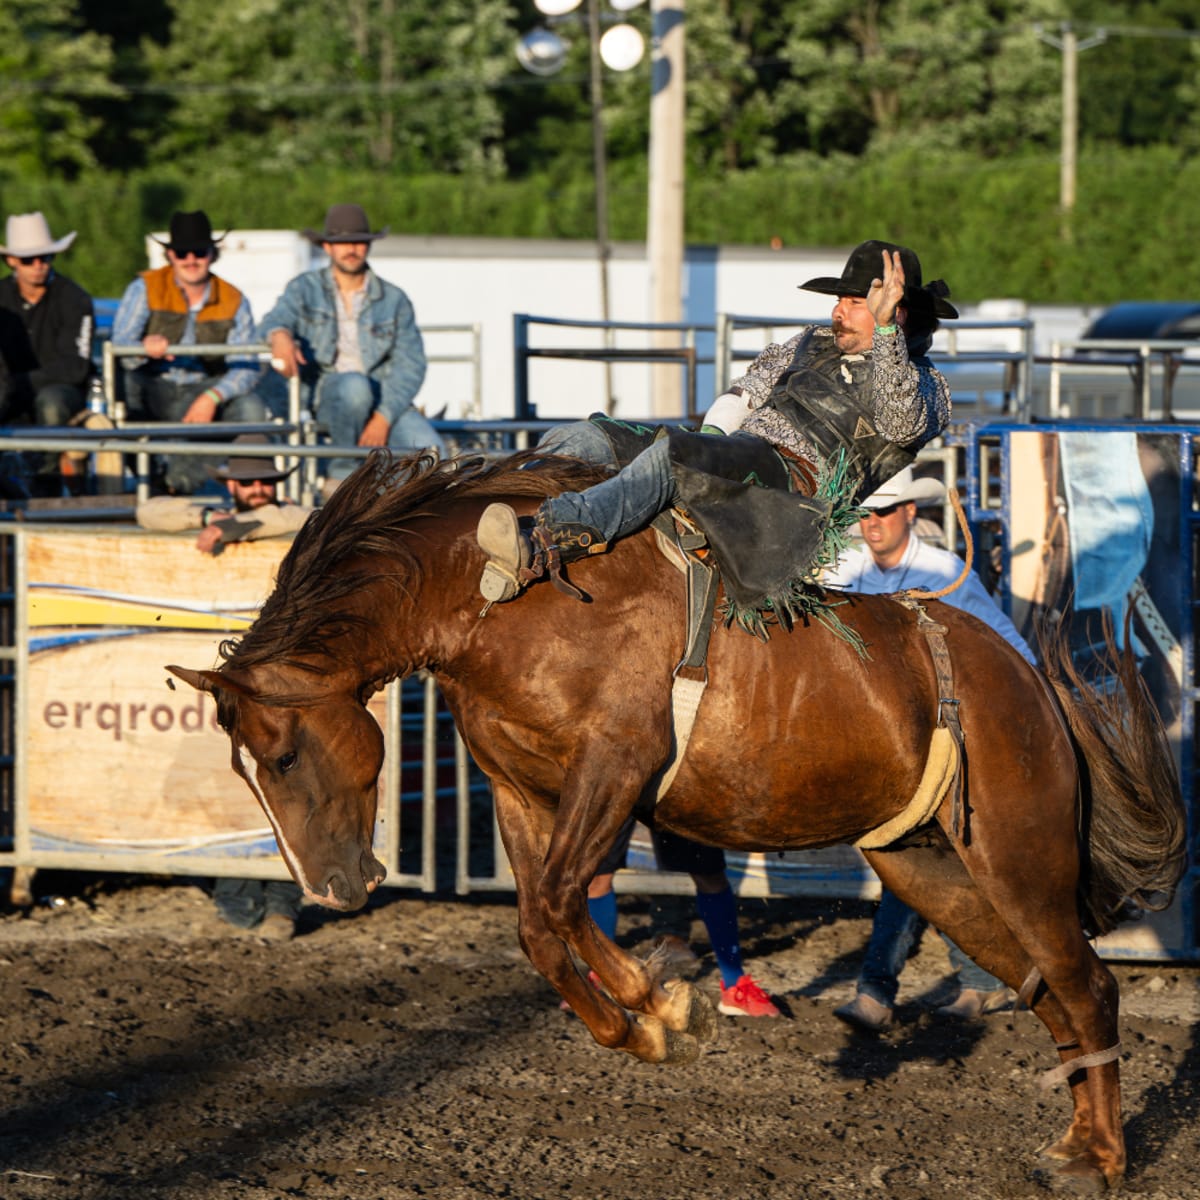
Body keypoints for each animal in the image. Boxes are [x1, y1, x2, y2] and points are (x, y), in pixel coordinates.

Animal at [167, 451, 1186, 1192]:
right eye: (246, 767)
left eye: (282, 756)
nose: (329, 889)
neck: (498, 597)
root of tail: (1024, 674)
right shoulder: (523, 792)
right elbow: (540, 922)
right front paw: (650, 1022)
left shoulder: (613, 768)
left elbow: (556, 903)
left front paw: (665, 1003)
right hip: (929, 868)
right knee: (1050, 994)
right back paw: (1070, 1145)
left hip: (1018, 857)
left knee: (1088, 984)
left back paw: (1103, 1160)